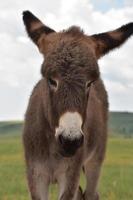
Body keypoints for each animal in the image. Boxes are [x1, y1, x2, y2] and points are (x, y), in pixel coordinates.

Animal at [22, 10, 132, 200]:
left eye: (90, 83)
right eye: (51, 80)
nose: (70, 141)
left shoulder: (70, 174)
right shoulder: (36, 174)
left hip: (95, 159)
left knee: (91, 193)